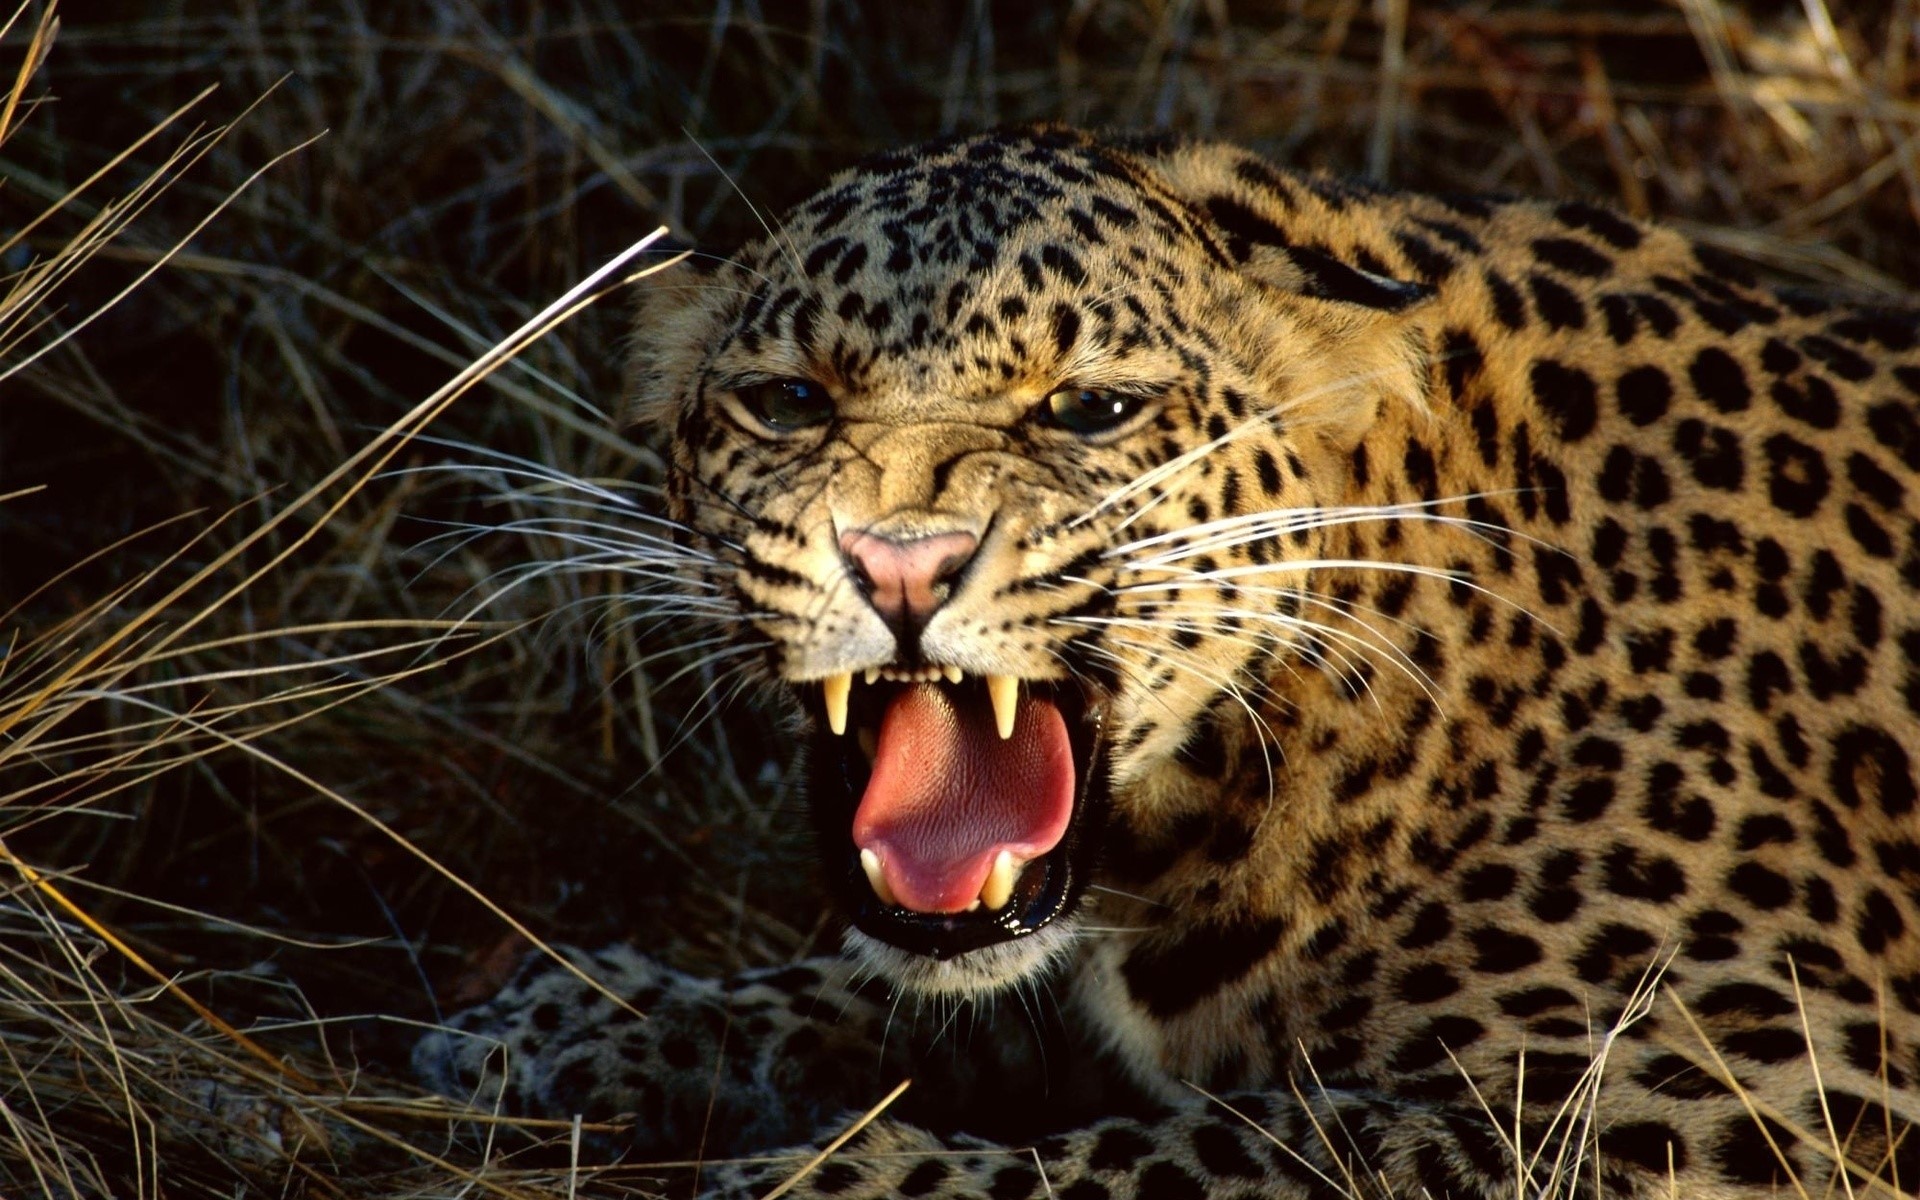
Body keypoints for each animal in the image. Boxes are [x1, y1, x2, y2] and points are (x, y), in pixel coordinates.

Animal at [415, 125, 1920, 1198]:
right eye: (788, 402)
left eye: (1092, 410)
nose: (901, 563)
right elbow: (896, 990)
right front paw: (577, 1019)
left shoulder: (1761, 1090)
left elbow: (1255, 1150)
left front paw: (829, 1182)